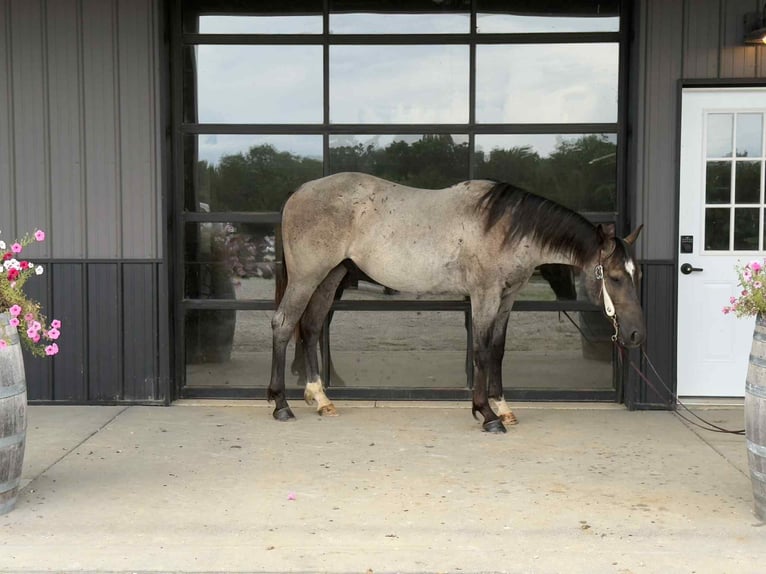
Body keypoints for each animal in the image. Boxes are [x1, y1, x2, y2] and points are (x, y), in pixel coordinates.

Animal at [269, 172, 645, 433]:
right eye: (614, 276)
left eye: (635, 273)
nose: (636, 335)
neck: (505, 228)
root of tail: (298, 194)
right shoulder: (484, 295)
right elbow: (480, 350)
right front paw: (487, 415)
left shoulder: (507, 297)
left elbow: (497, 350)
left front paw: (503, 407)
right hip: (307, 278)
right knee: (283, 325)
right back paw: (281, 405)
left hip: (330, 278)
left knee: (311, 327)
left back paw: (320, 399)